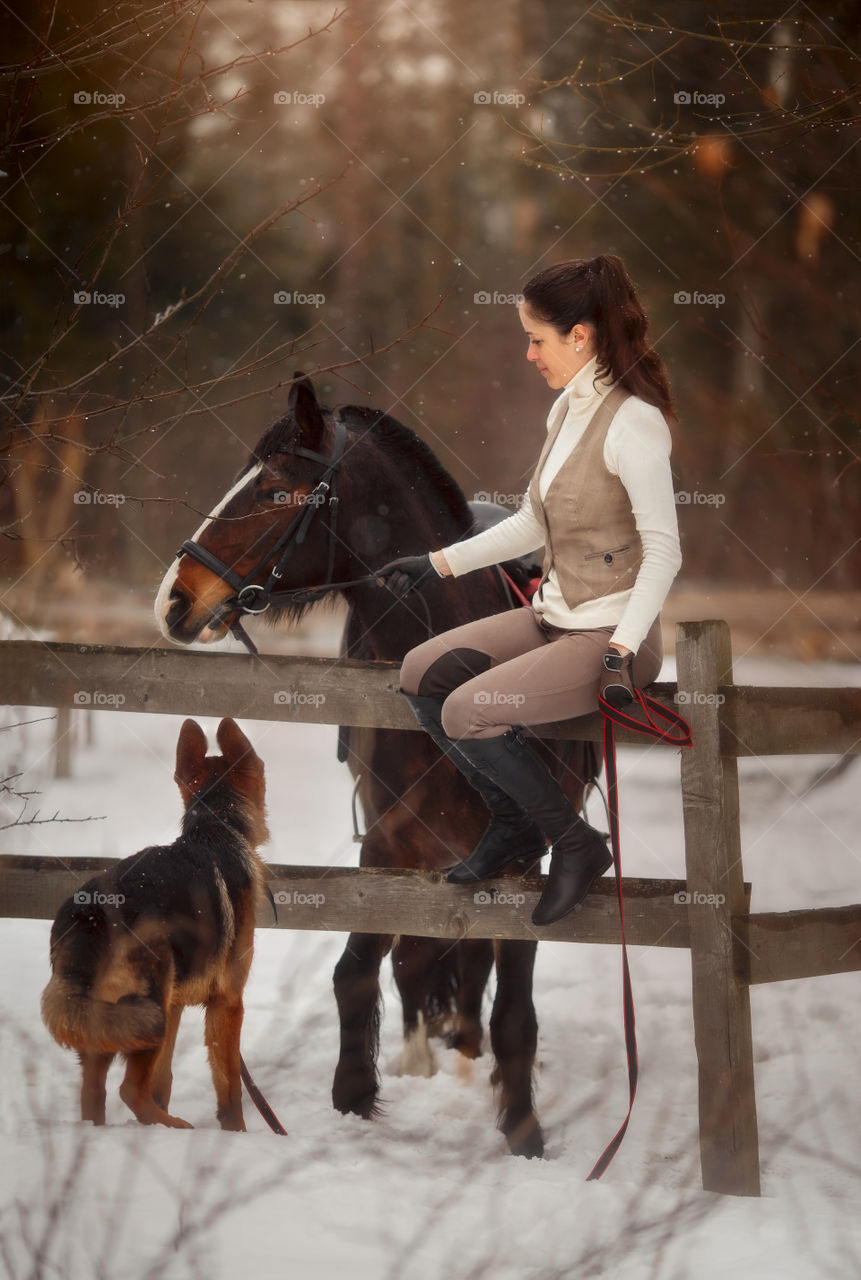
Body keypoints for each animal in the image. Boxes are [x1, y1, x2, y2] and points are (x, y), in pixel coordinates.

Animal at [40, 721, 267, 1131]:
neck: (217, 826)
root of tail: (90, 912)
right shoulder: (228, 1003)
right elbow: (229, 1086)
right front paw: (237, 1134)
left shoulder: (176, 1005)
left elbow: (163, 1079)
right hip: (150, 1007)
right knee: (129, 1090)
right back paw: (176, 1126)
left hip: (113, 1019)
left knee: (93, 1092)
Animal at [154, 373, 593, 1162]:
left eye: (274, 489)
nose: (173, 599)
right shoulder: (388, 843)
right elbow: (357, 970)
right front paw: (355, 1092)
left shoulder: (522, 863)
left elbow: (514, 1005)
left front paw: (522, 1127)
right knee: (418, 961)